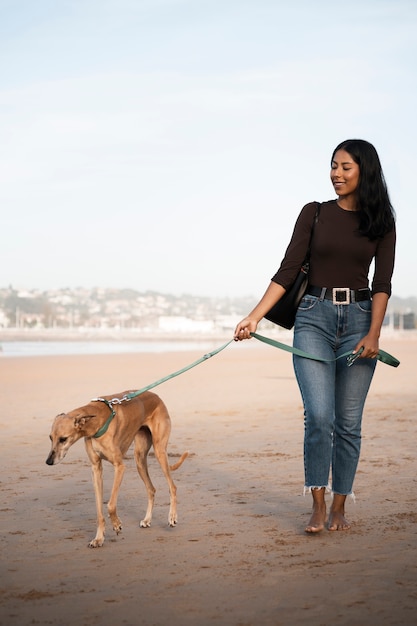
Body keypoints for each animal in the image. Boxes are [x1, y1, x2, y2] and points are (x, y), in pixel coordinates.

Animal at [45, 390, 187, 544]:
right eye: (50, 438)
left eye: (63, 439)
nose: (48, 462)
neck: (96, 422)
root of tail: (156, 395)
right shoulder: (96, 469)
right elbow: (99, 510)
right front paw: (99, 538)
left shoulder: (119, 466)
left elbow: (110, 504)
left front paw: (116, 524)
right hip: (139, 460)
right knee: (151, 489)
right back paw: (147, 519)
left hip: (160, 451)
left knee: (172, 487)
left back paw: (172, 517)